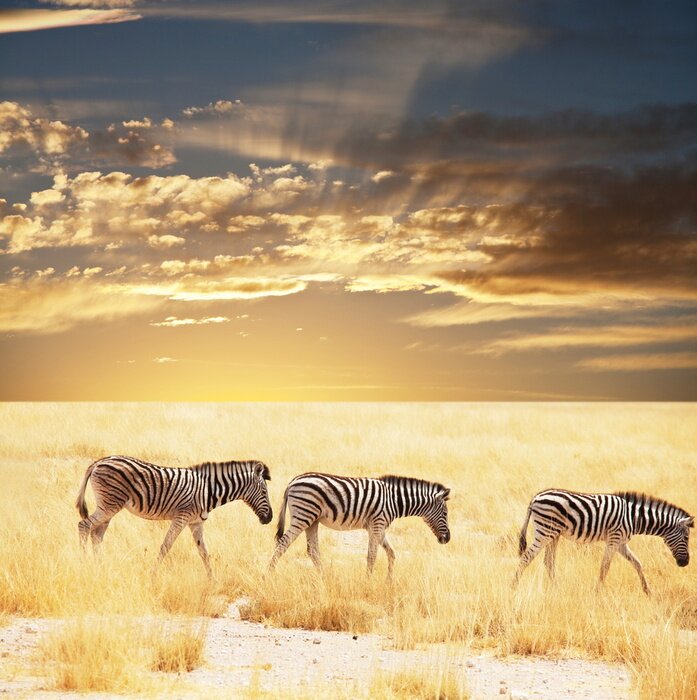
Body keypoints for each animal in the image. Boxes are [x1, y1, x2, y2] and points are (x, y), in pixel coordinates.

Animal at [75, 455, 272, 576]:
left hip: (109, 506)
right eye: (264, 492)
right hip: (110, 504)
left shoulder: (196, 522)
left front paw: (212, 580)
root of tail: (99, 461)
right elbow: (166, 546)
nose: (269, 518)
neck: (208, 491)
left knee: (96, 534)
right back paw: (85, 563)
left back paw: (100, 566)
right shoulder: (182, 517)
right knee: (84, 525)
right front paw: (153, 575)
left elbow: (204, 552)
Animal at [268, 472, 451, 577]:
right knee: (283, 543)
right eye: (446, 514)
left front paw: (389, 581)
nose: (447, 539)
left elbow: (391, 553)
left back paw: (324, 578)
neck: (394, 500)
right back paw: (269, 574)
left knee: (312, 550)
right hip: (303, 515)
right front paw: (368, 581)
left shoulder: (378, 527)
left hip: (312, 520)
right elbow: (372, 556)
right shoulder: (377, 524)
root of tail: (293, 481)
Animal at [514, 489, 693, 594]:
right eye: (686, 538)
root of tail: (535, 497)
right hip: (545, 531)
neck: (635, 518)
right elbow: (605, 567)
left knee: (548, 561)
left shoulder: (621, 543)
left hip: (554, 534)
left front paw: (647, 591)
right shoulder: (614, 539)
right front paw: (597, 592)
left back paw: (557, 588)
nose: (685, 563)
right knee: (526, 558)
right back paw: (513, 587)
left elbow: (637, 563)